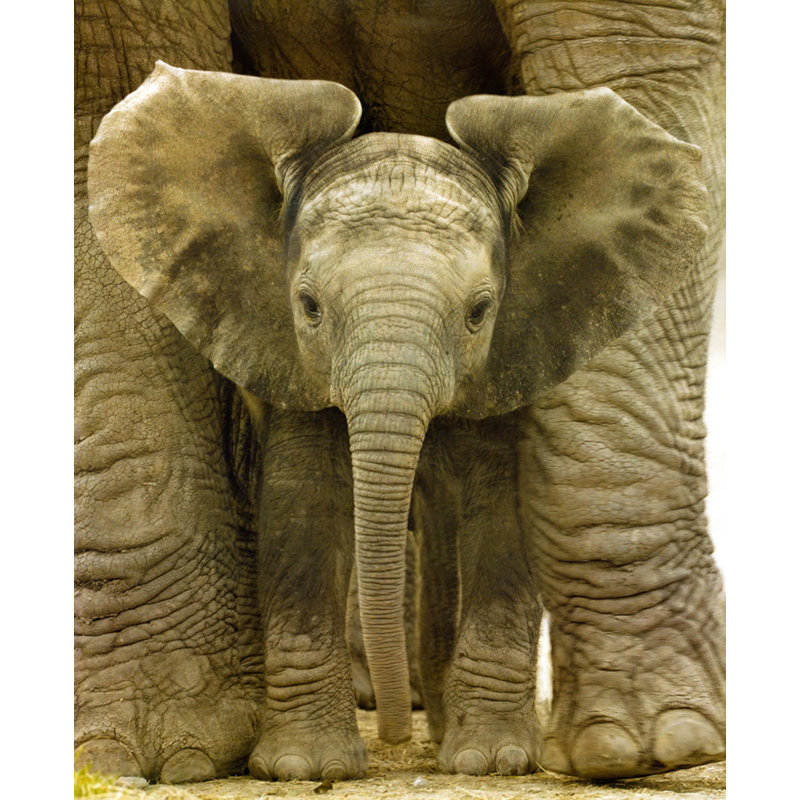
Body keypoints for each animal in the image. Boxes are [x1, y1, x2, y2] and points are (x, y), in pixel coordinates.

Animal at [74, 0, 725, 785]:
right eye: (308, 306)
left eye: (479, 311)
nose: (389, 739)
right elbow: (304, 505)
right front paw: (283, 765)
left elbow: (499, 509)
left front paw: (555, 756)